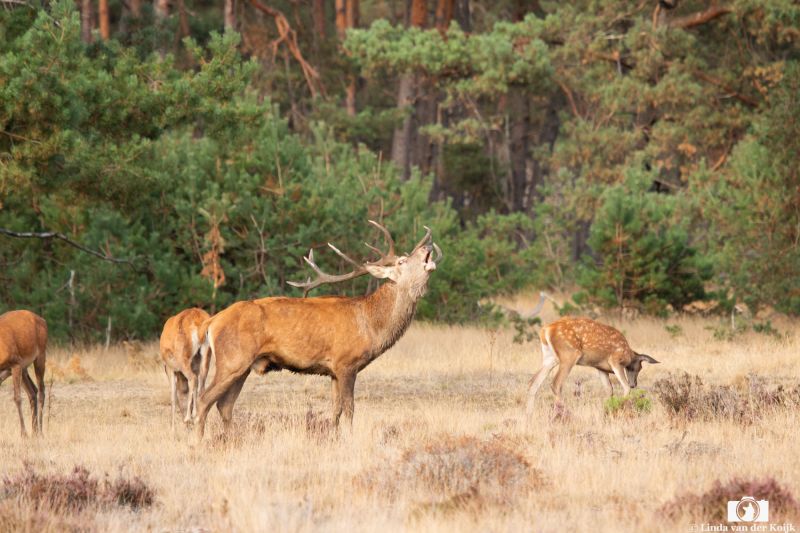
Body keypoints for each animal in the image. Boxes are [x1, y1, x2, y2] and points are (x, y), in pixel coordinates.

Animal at [189, 220, 441, 445]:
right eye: (402, 261)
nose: (427, 247)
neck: (371, 325)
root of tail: (211, 322)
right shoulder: (346, 363)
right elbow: (349, 409)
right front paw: (349, 440)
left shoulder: (333, 372)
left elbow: (335, 410)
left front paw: (334, 438)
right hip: (232, 360)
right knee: (203, 400)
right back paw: (198, 443)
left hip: (243, 367)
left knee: (224, 406)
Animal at [526, 317, 659, 413]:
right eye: (639, 368)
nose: (634, 384)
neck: (628, 354)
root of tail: (546, 330)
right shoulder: (615, 361)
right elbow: (624, 387)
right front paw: (622, 407)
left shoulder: (600, 367)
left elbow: (609, 389)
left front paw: (608, 408)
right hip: (569, 354)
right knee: (556, 383)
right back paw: (562, 414)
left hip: (550, 358)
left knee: (533, 382)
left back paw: (529, 414)